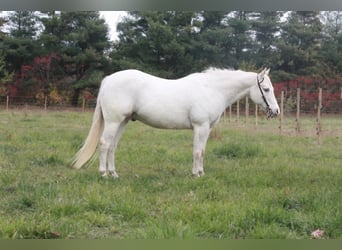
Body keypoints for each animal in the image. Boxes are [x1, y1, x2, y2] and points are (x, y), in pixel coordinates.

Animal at [71, 68, 278, 177]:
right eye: (267, 89)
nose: (276, 111)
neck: (212, 89)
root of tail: (108, 80)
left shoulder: (207, 129)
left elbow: (202, 151)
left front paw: (201, 173)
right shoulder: (200, 126)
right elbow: (197, 151)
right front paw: (195, 174)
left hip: (123, 121)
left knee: (113, 146)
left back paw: (114, 174)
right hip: (113, 121)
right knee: (104, 144)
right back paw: (104, 174)